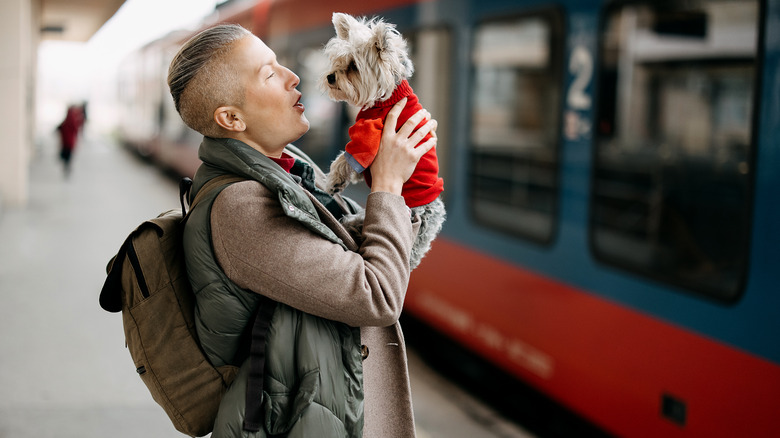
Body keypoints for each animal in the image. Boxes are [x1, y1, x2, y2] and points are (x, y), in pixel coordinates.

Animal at [320, 12, 448, 268]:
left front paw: (334, 182)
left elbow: (346, 158)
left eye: (353, 66)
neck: (388, 95)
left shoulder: (369, 132)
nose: (330, 77)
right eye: (338, 60)